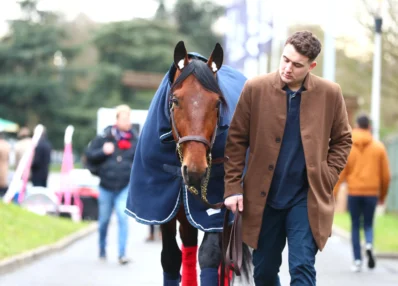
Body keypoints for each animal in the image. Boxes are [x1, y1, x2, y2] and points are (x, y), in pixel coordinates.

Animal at [124, 42, 250, 286]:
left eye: (217, 103)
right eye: (175, 100)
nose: (195, 170)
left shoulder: (216, 213)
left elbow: (211, 255)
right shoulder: (165, 210)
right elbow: (171, 258)